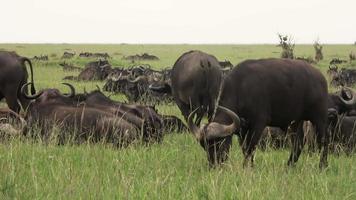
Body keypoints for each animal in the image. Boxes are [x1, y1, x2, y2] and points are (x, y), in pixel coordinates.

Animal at [188, 58, 330, 169]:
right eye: (204, 146)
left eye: (219, 143)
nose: (213, 164)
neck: (241, 89)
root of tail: (320, 78)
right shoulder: (242, 130)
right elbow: (245, 149)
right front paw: (250, 166)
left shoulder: (258, 124)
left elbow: (251, 147)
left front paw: (246, 167)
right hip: (295, 122)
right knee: (298, 142)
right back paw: (289, 166)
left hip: (319, 117)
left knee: (324, 140)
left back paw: (322, 166)